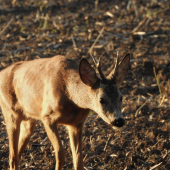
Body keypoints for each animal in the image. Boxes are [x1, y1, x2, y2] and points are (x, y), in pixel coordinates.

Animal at [0, 52, 130, 170]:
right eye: (102, 99)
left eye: (121, 97)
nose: (119, 121)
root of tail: (2, 72)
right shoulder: (47, 117)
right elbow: (60, 153)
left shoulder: (77, 123)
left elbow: (78, 159)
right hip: (10, 111)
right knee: (12, 156)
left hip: (29, 119)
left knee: (17, 153)